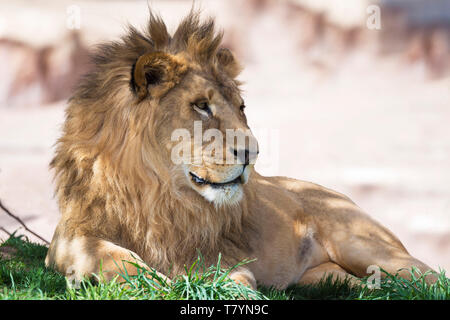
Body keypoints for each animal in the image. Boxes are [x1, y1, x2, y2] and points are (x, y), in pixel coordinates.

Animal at [44, 11, 436, 290]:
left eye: (241, 106)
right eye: (201, 106)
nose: (252, 154)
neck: (156, 194)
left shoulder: (217, 253)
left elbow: (230, 280)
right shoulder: (67, 238)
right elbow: (110, 255)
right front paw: (149, 281)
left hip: (366, 245)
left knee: (430, 276)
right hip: (324, 276)